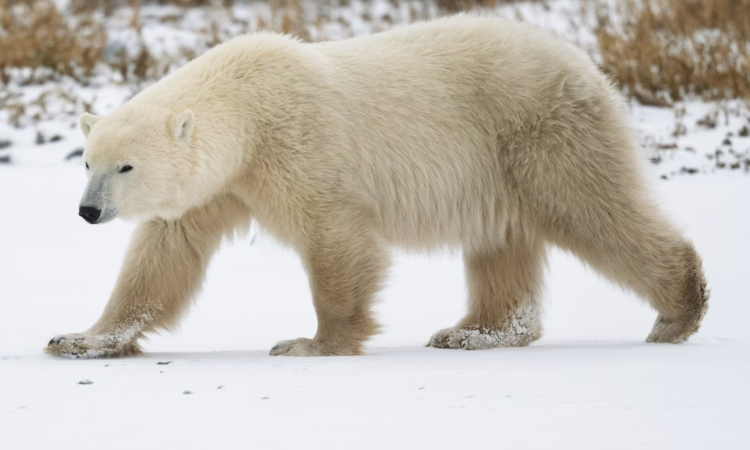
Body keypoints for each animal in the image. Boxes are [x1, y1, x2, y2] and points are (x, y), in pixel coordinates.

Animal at [46, 15, 708, 358]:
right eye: (88, 163)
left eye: (126, 167)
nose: (87, 212)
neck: (248, 108)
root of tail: (586, 66)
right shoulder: (221, 185)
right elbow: (163, 257)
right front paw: (79, 338)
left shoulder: (299, 147)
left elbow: (337, 239)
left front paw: (311, 343)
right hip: (501, 166)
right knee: (502, 246)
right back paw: (472, 332)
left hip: (539, 135)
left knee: (593, 213)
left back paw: (678, 312)